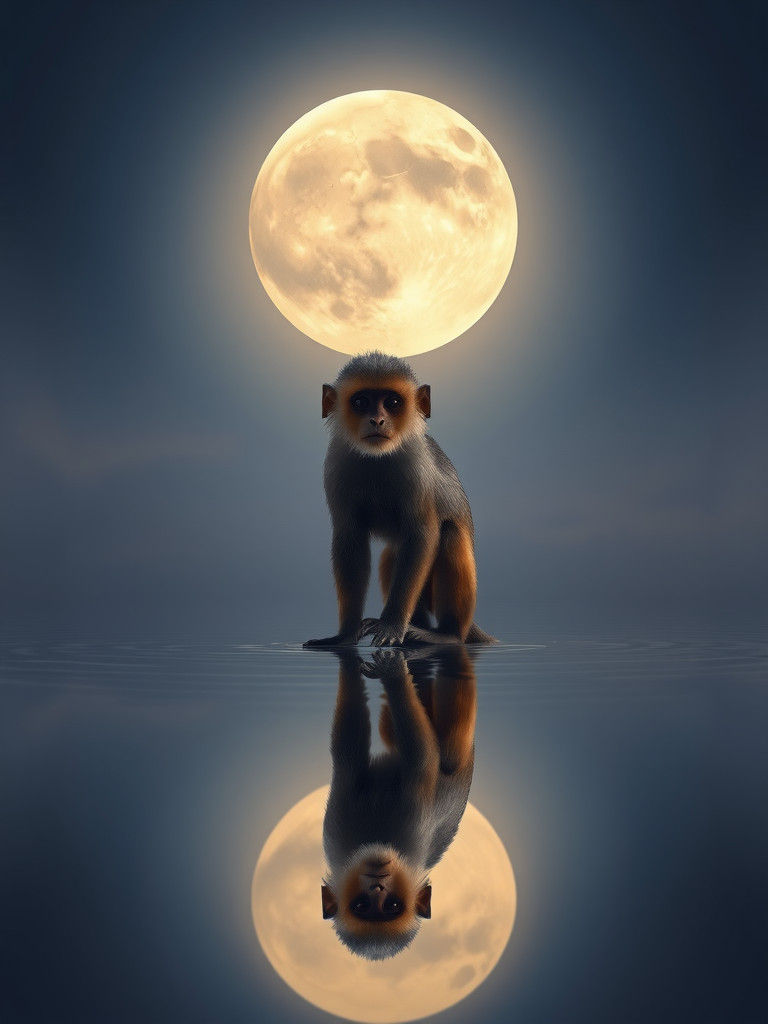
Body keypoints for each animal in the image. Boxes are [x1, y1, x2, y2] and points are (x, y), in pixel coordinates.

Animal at [303, 351, 495, 648]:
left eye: (392, 402)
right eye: (361, 402)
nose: (377, 421)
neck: (377, 459)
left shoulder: (416, 468)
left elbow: (422, 534)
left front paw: (392, 626)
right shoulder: (337, 464)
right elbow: (350, 539)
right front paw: (345, 634)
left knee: (448, 534)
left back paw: (444, 634)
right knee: (392, 553)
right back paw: (417, 628)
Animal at [321, 646, 477, 959]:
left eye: (392, 906)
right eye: (362, 906)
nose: (378, 885)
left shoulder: (412, 826)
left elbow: (420, 758)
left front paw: (388, 670)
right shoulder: (336, 834)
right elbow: (350, 749)